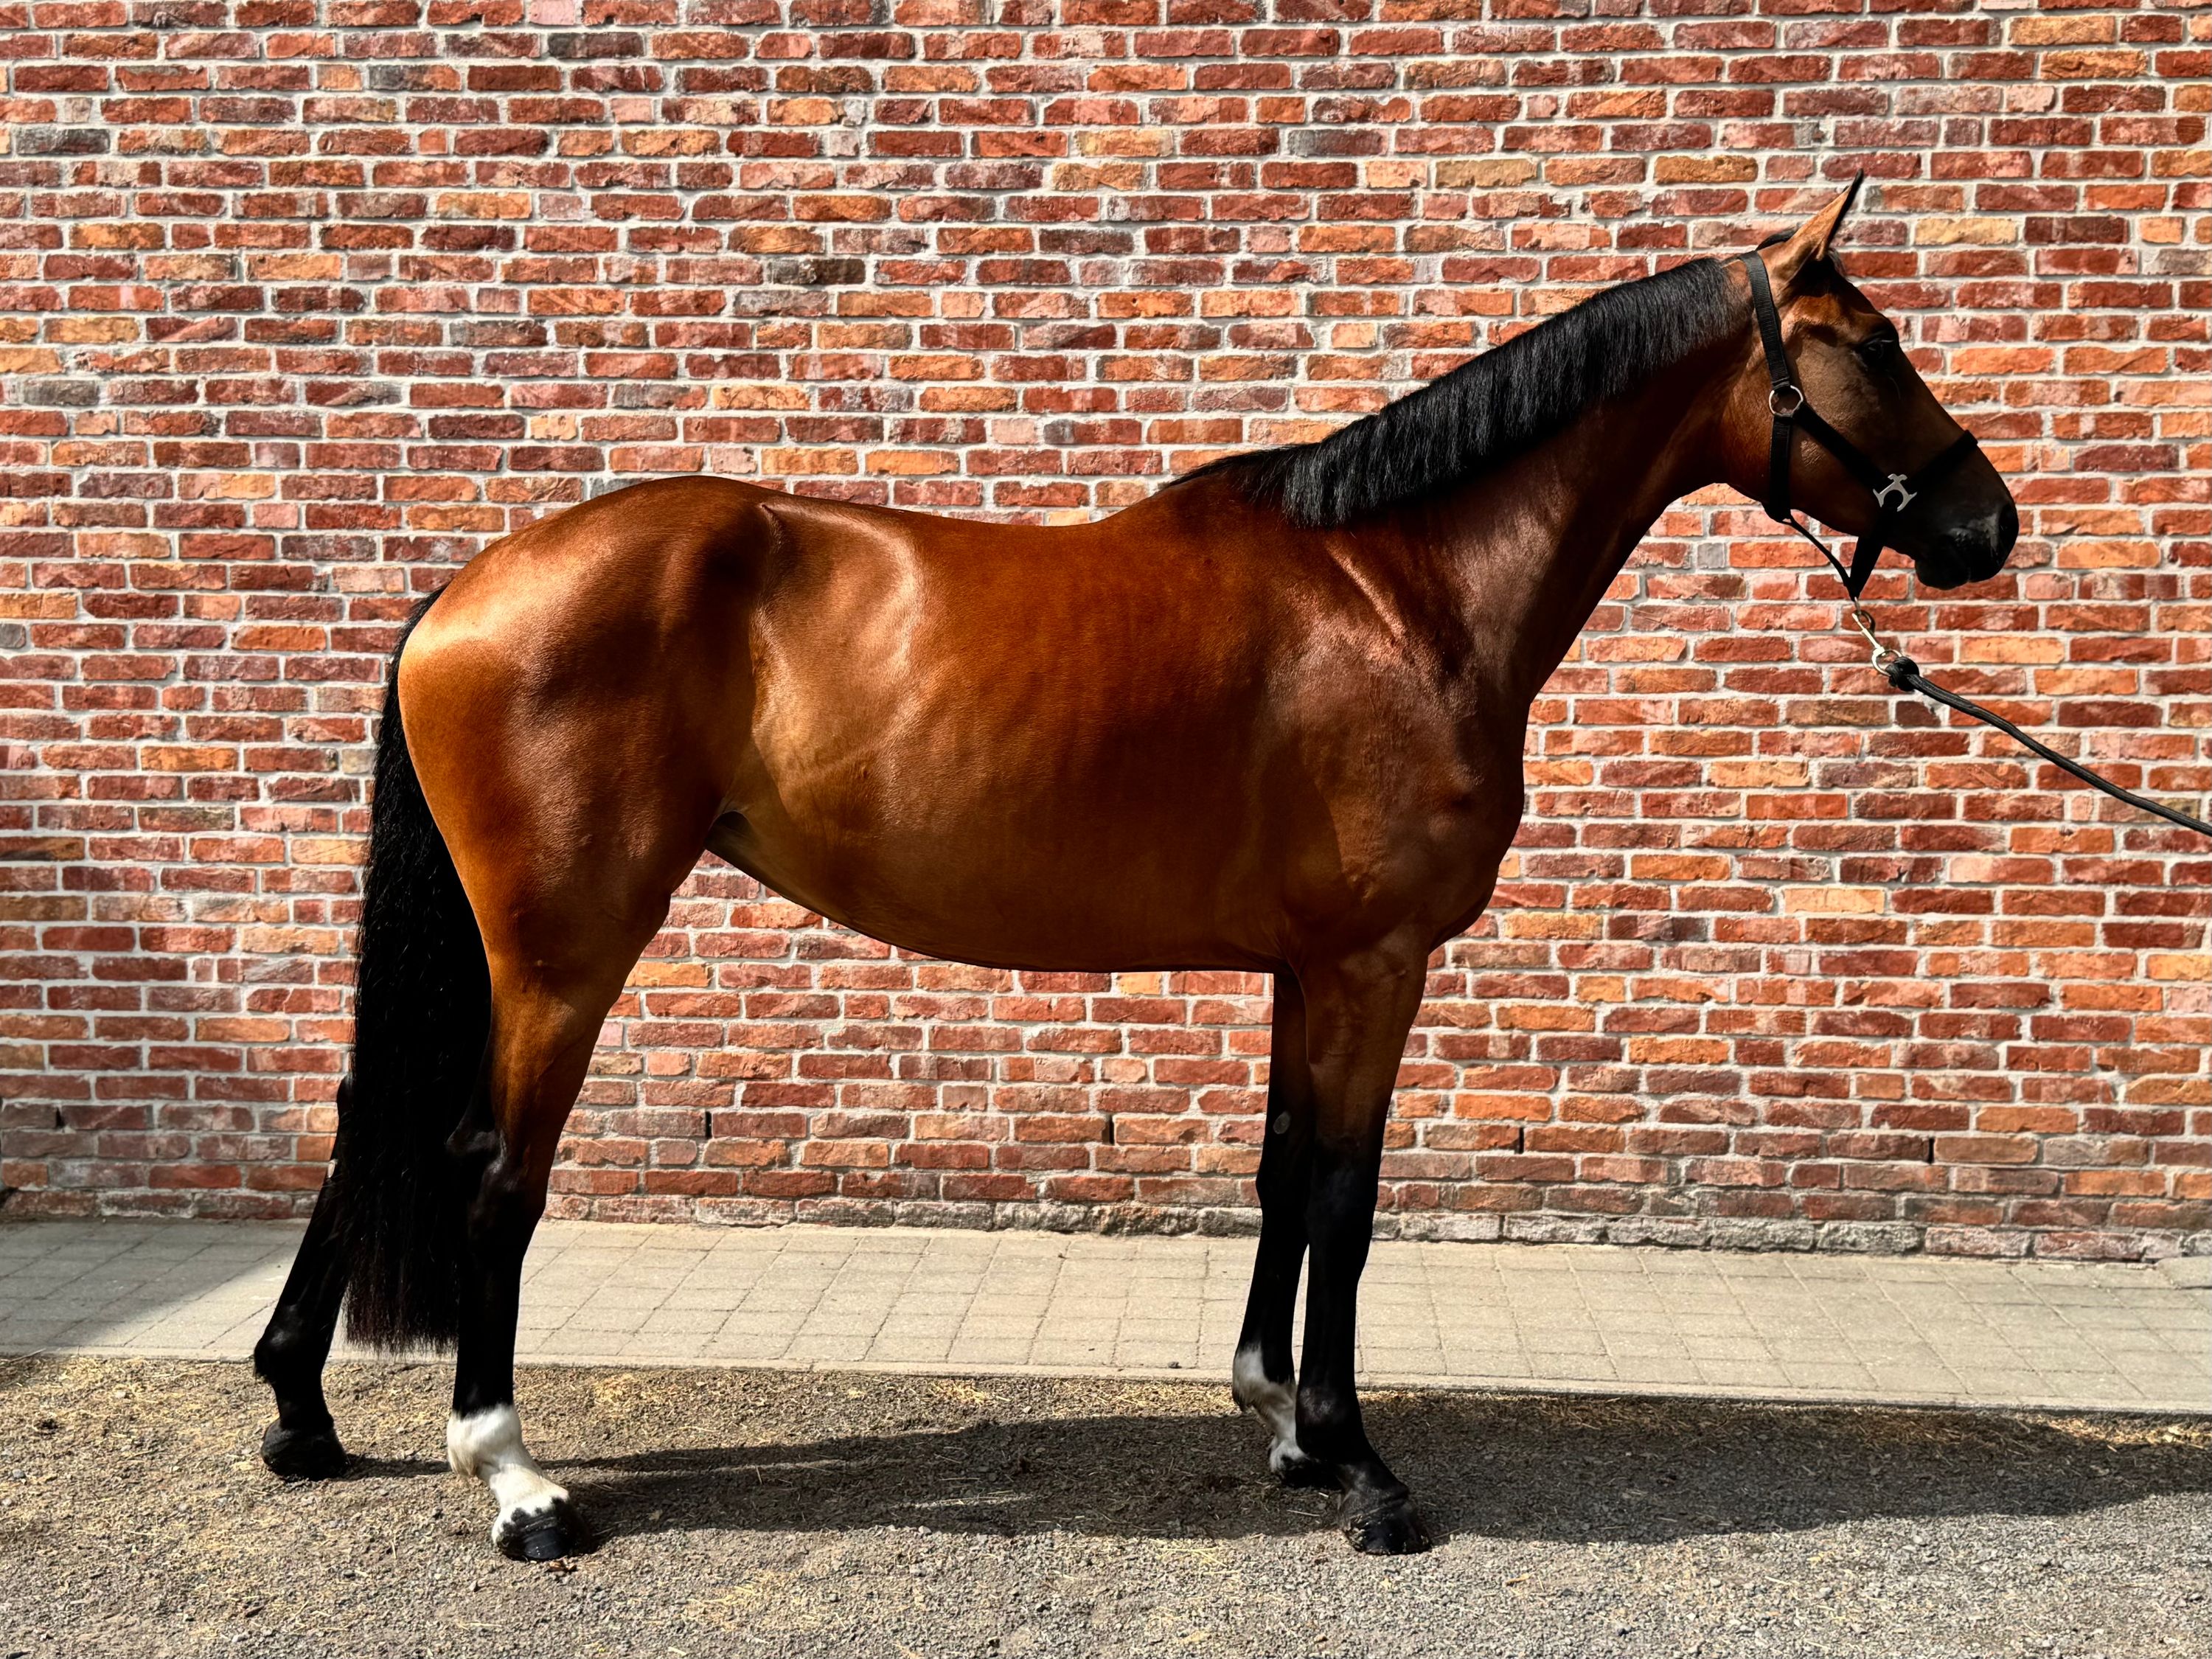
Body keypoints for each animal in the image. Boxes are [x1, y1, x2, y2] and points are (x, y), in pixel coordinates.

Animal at [250, 181, 2017, 1560]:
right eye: (1873, 343)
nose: (1988, 528)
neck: (1402, 589)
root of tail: (465, 590)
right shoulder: (1378, 962)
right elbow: (1349, 1200)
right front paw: (1362, 1469)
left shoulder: (1313, 965)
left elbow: (1287, 1175)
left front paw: (1284, 1428)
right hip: (565, 945)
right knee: (490, 1166)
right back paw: (515, 1483)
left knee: (374, 1123)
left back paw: (300, 1416)